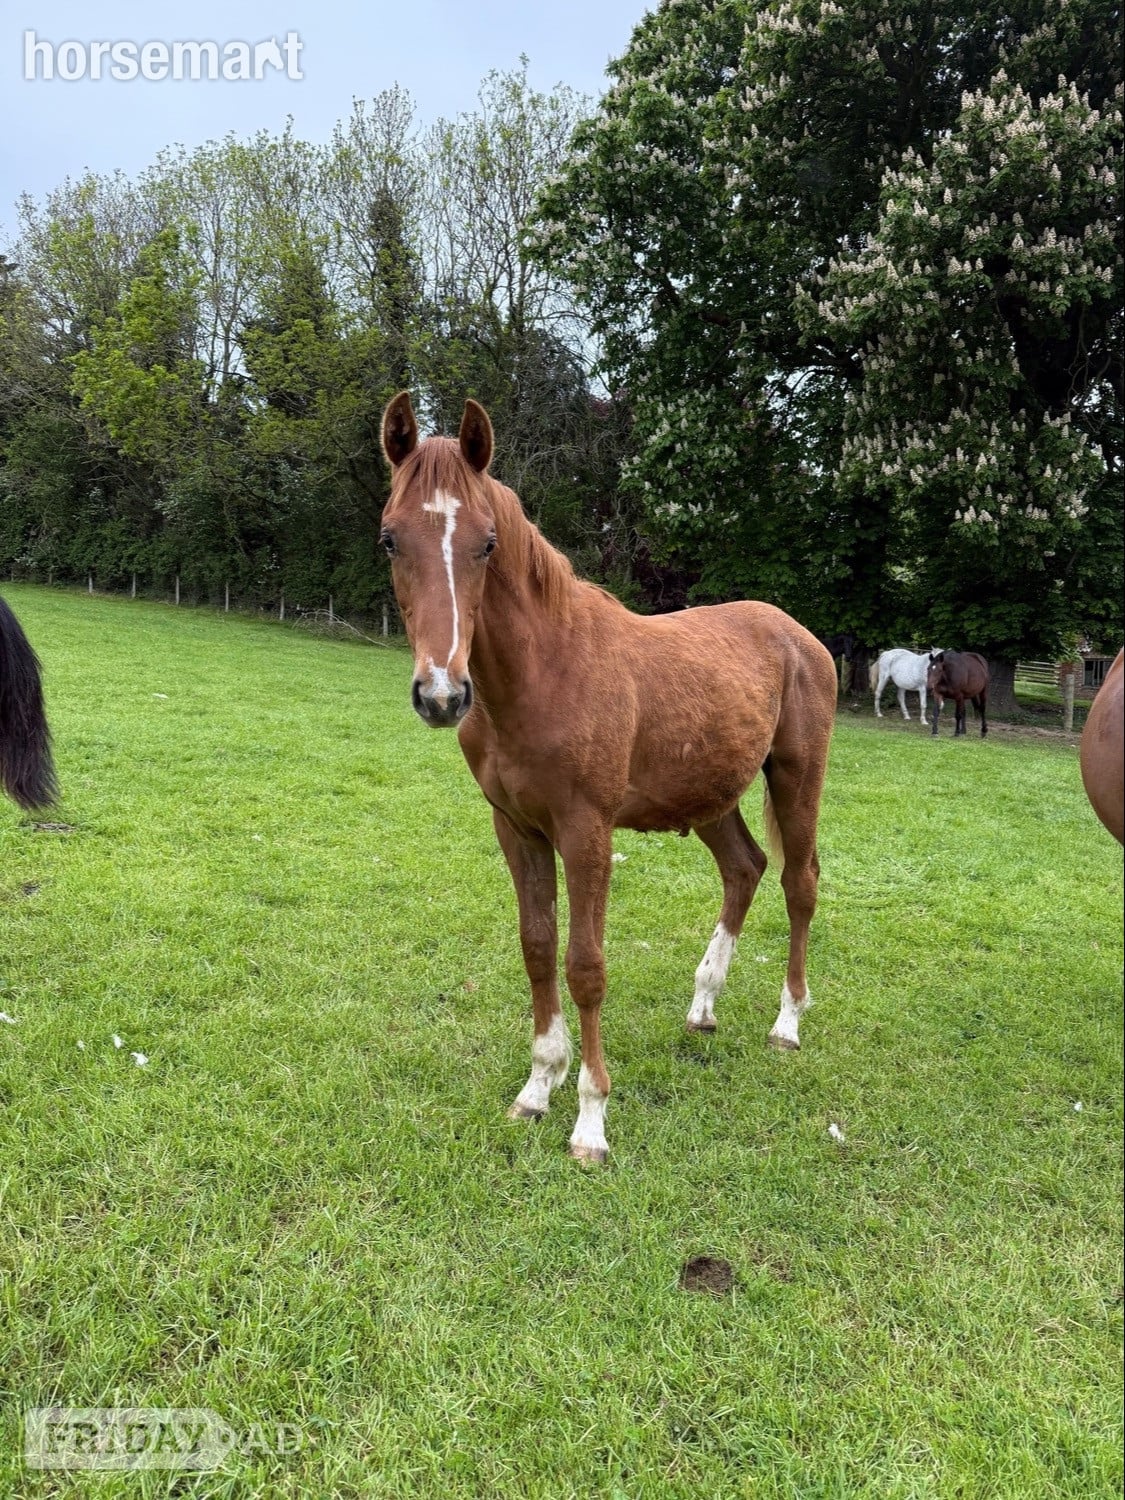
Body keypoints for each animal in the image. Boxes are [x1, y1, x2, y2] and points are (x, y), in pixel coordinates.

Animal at [380, 392, 838, 1164]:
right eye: (390, 539)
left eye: (487, 543)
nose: (441, 695)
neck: (544, 674)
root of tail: (798, 635)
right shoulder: (517, 829)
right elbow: (538, 950)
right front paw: (537, 1088)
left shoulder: (586, 833)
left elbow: (585, 966)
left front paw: (590, 1119)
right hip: (710, 796)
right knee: (744, 868)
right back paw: (702, 1006)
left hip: (796, 777)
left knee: (797, 883)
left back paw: (787, 1023)